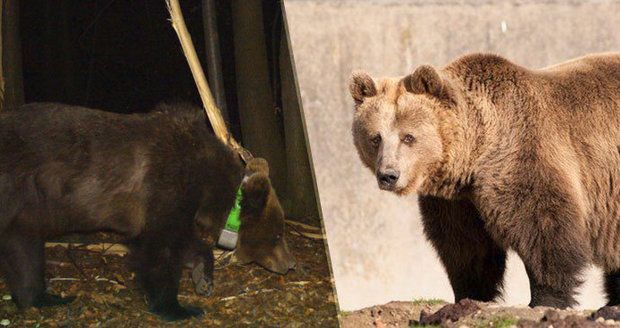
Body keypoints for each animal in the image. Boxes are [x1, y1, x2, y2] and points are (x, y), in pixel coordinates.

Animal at [0, 102, 296, 320]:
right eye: (278, 235)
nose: (290, 264)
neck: (208, 184)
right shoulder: (166, 185)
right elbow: (159, 249)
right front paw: (177, 308)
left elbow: (185, 242)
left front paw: (203, 278)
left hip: (26, 209)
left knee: (24, 250)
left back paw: (43, 297)